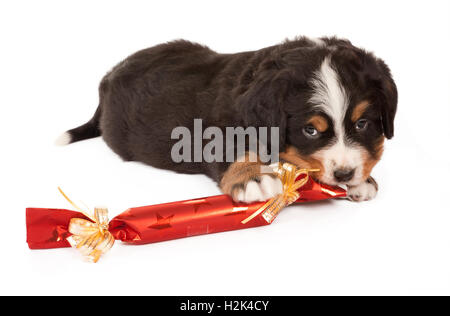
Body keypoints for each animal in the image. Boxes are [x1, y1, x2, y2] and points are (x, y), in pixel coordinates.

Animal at [56, 36, 398, 202]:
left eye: (363, 124)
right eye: (310, 130)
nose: (344, 174)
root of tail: (108, 78)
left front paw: (363, 180)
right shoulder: (210, 132)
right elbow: (234, 150)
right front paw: (254, 177)